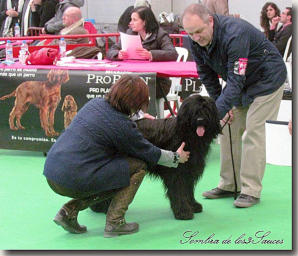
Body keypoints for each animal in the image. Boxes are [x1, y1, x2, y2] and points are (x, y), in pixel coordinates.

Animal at [89, 94, 220, 220]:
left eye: (206, 109)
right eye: (194, 111)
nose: (200, 120)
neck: (187, 135)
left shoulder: (189, 171)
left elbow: (188, 190)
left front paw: (193, 205)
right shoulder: (176, 172)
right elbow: (179, 191)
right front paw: (183, 211)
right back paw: (100, 207)